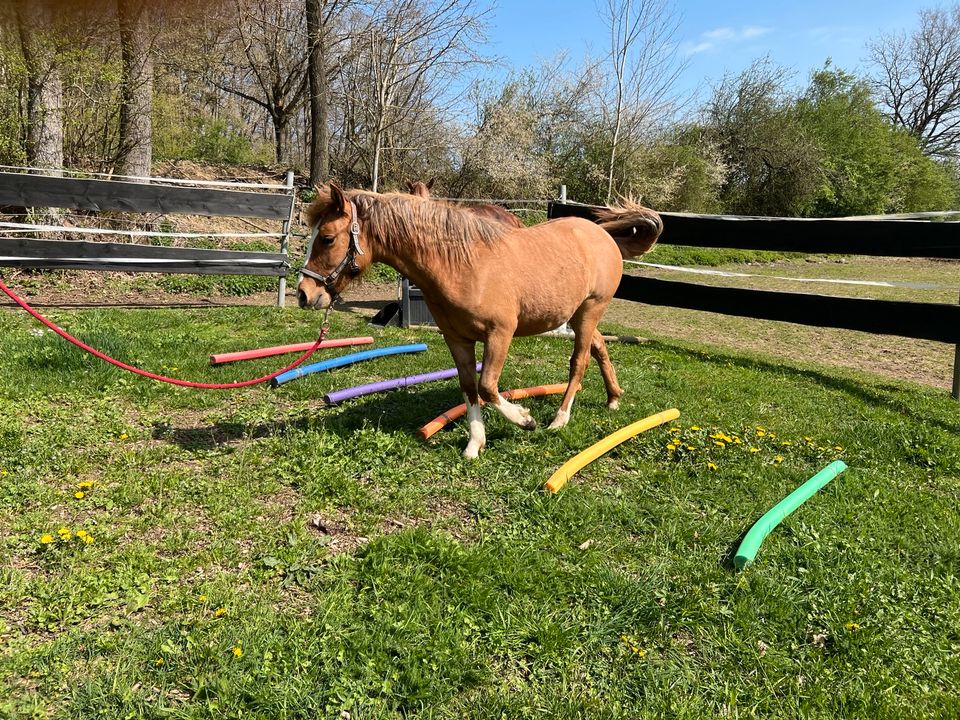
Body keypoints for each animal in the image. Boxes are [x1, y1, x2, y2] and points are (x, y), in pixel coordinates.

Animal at [298, 183, 660, 458]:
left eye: (327, 237)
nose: (304, 294)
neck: (464, 265)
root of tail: (601, 234)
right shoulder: (456, 338)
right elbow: (469, 387)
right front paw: (475, 443)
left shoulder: (500, 335)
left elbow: (487, 386)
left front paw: (525, 420)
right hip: (580, 314)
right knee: (599, 348)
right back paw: (613, 397)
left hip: (589, 311)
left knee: (580, 361)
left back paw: (559, 419)